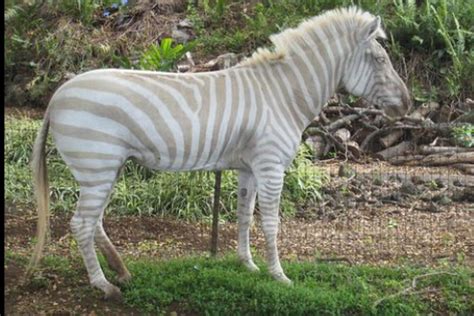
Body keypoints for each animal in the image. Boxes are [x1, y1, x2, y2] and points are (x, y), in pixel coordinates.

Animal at [27, 6, 410, 298]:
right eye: (379, 59)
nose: (407, 105)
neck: (283, 94)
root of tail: (58, 95)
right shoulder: (271, 165)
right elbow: (271, 222)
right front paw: (279, 275)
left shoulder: (249, 167)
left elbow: (244, 216)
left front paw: (248, 265)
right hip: (97, 165)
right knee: (81, 223)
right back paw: (103, 285)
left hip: (105, 168)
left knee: (94, 223)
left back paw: (121, 272)